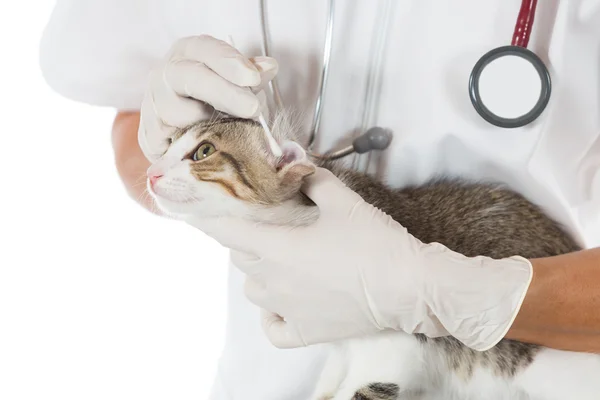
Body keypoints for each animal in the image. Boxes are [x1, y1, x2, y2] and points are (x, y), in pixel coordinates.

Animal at [146, 115, 600, 400]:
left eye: (203, 152)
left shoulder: (394, 350)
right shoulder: (338, 344)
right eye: (167, 145)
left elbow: (365, 388)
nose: (151, 172)